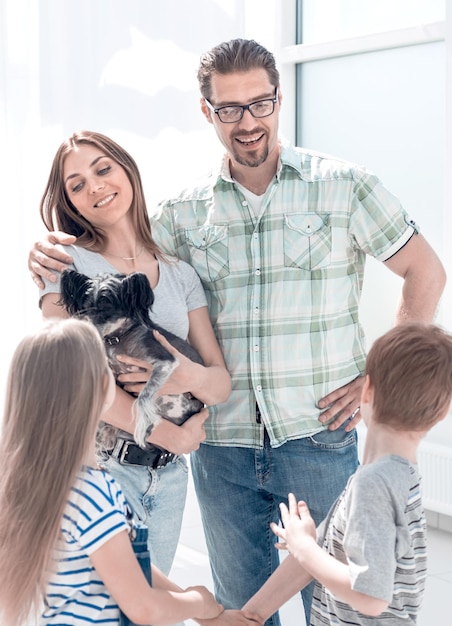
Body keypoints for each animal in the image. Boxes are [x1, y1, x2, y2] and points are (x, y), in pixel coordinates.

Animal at [59, 270, 204, 446]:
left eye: (107, 308)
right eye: (86, 308)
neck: (117, 339)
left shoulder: (166, 361)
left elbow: (143, 396)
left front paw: (144, 425)